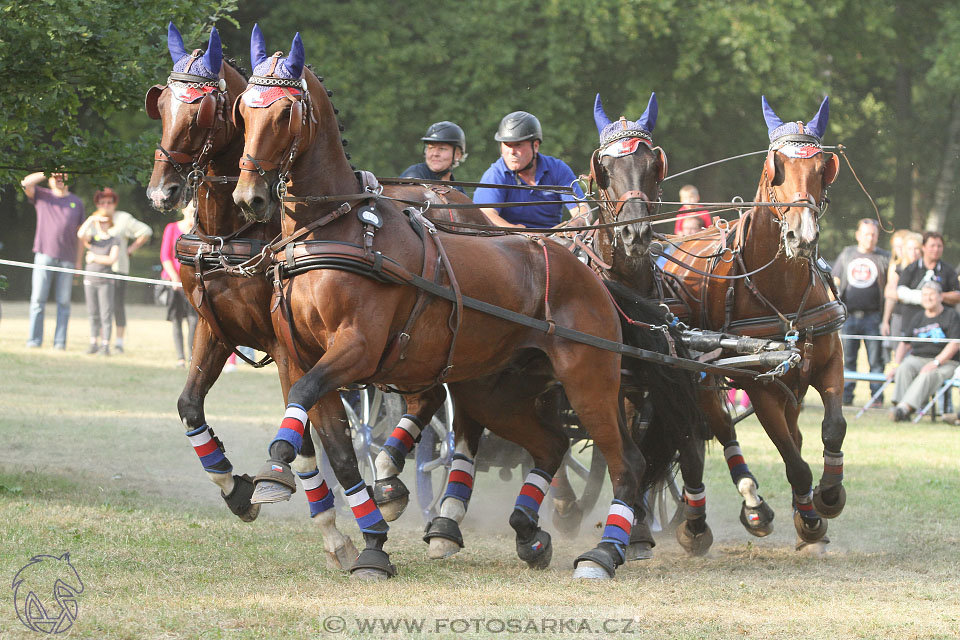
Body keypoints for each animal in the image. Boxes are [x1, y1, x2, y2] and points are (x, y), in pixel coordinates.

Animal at [231, 28, 696, 580]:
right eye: (243, 109)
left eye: (284, 113)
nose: (249, 197)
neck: (333, 230)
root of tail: (590, 275)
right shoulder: (298, 357)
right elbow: (337, 450)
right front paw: (369, 542)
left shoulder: (357, 350)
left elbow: (310, 408)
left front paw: (276, 468)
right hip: (498, 390)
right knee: (551, 444)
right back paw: (527, 532)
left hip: (589, 380)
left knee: (628, 460)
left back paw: (604, 552)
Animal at [652, 96, 848, 552]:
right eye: (775, 168)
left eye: (821, 169)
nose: (801, 236)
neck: (784, 292)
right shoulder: (760, 388)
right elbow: (793, 462)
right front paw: (809, 518)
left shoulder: (827, 364)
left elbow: (832, 428)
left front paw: (827, 496)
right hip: (699, 371)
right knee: (714, 431)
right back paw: (712, 516)